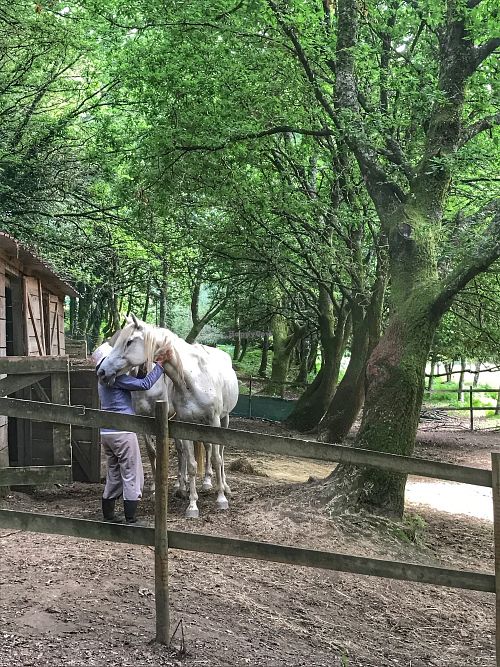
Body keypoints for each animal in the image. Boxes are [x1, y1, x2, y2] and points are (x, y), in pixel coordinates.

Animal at [97, 315, 239, 518]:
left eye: (129, 341)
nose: (102, 372)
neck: (193, 380)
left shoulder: (214, 421)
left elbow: (216, 458)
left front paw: (221, 499)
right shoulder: (175, 423)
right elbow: (186, 462)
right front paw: (191, 504)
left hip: (223, 420)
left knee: (219, 452)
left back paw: (221, 486)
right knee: (197, 450)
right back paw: (187, 486)